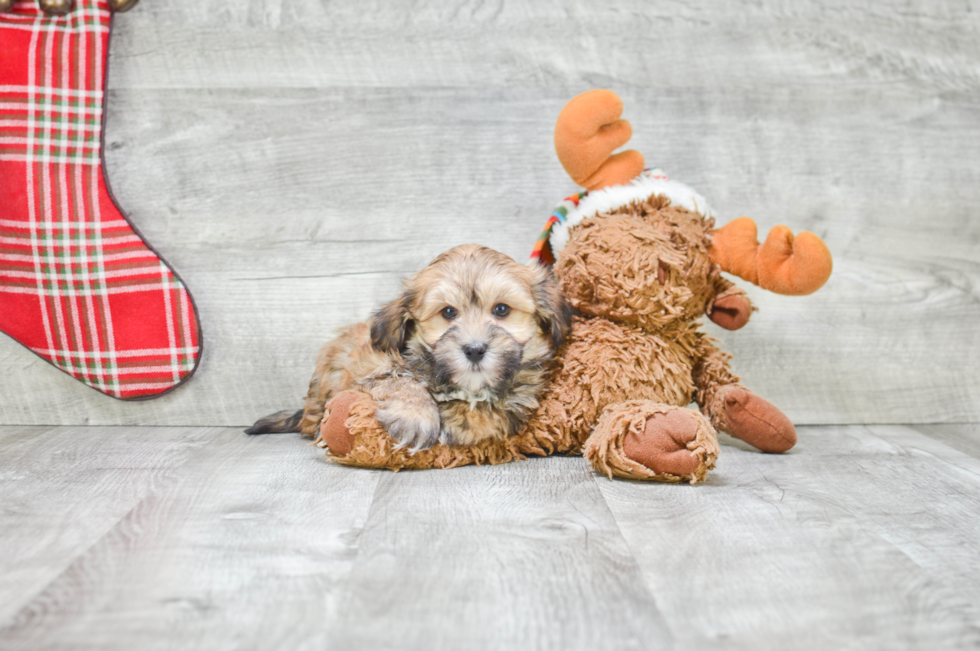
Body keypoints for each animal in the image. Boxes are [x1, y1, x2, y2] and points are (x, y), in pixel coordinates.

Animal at [247, 244, 576, 454]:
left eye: (502, 309)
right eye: (448, 313)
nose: (474, 350)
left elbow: (489, 410)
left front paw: (461, 421)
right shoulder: (368, 365)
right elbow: (400, 380)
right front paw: (415, 416)